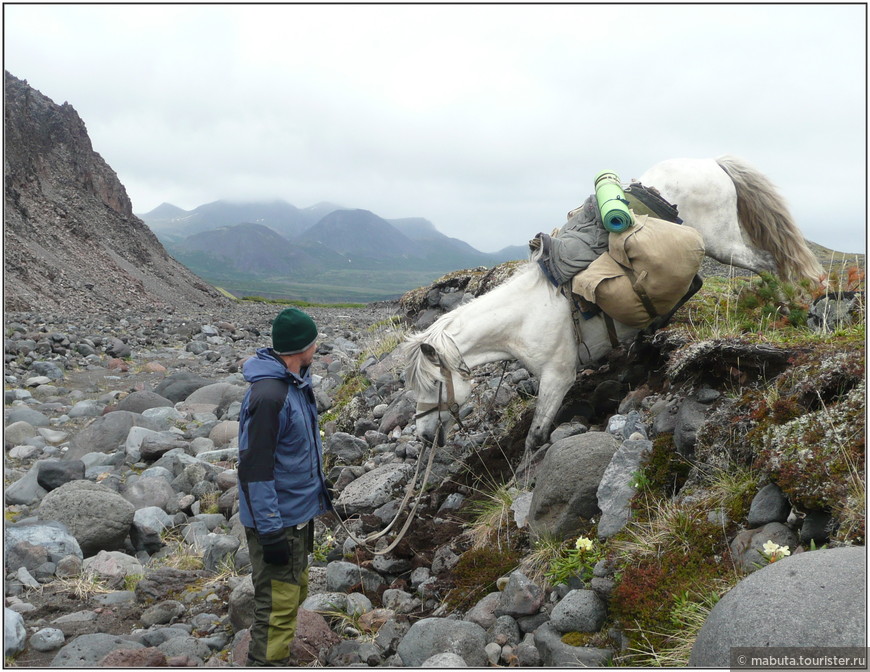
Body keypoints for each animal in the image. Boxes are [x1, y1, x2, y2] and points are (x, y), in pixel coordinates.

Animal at [404, 155, 824, 454]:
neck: (521, 320)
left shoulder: (558, 376)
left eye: (435, 384)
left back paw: (793, 310)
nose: (423, 436)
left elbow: (536, 435)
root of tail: (712, 162)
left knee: (768, 262)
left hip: (722, 243)